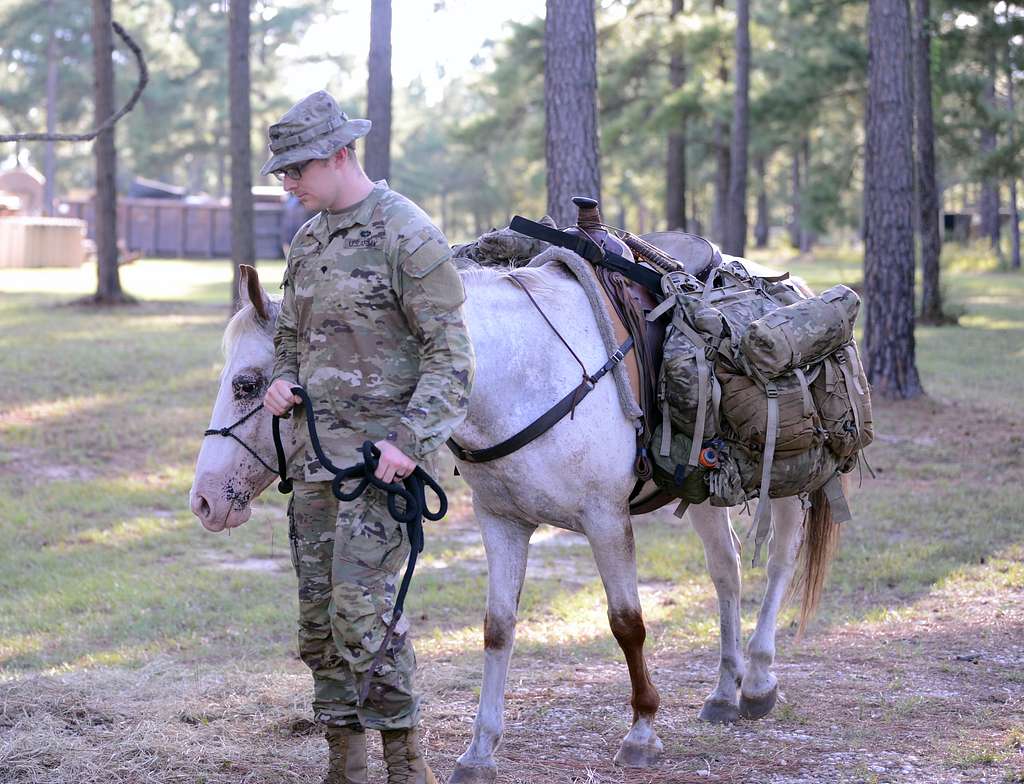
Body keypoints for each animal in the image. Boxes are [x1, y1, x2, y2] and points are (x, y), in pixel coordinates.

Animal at [193, 262, 839, 777]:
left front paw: (641, 733)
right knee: (727, 573)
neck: (523, 374)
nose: (203, 502)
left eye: (247, 383)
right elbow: (498, 628)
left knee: (777, 564)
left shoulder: (606, 521)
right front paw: (480, 750)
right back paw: (725, 691)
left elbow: (627, 624)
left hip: (785, 483)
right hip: (703, 494)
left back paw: (758, 682)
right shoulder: (502, 523)